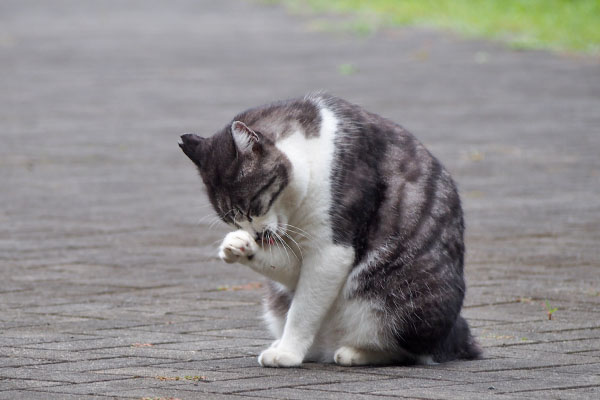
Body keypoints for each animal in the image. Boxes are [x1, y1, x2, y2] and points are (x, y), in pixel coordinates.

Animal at [179, 92, 482, 368]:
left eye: (253, 205)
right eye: (230, 220)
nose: (254, 235)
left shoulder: (332, 250)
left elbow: (303, 310)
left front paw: (288, 353)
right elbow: (291, 274)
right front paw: (238, 246)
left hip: (407, 302)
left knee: (409, 350)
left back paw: (355, 352)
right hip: (275, 304)